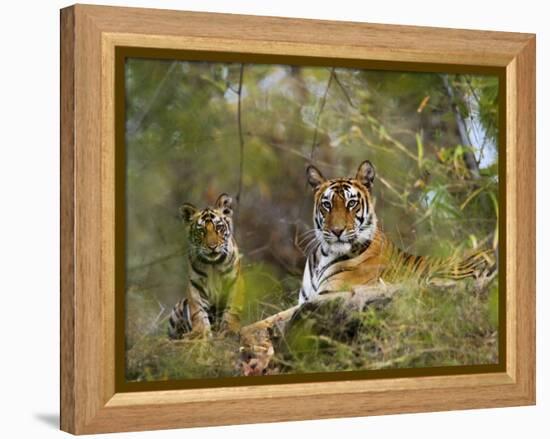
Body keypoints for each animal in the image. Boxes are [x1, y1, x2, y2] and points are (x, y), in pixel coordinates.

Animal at [169, 193, 245, 340]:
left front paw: (230, 330)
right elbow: (198, 311)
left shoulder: (234, 281)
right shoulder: (195, 285)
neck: (213, 264)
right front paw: (200, 333)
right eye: (201, 231)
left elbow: (232, 310)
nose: (212, 246)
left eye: (219, 228)